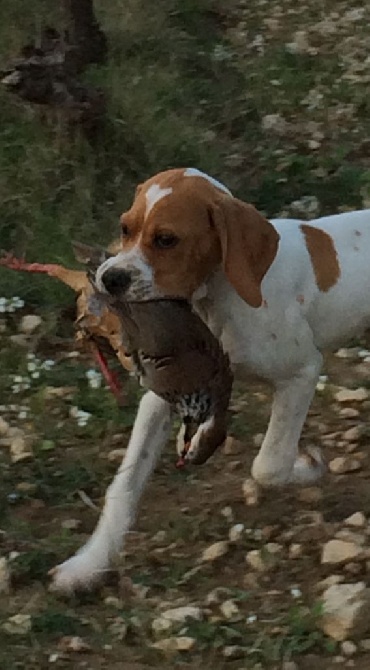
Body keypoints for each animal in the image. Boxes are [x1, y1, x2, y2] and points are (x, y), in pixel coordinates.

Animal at [50, 168, 370, 592]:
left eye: (166, 239)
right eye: (125, 228)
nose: (109, 277)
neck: (219, 297)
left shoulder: (301, 372)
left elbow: (269, 464)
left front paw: (307, 466)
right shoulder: (164, 394)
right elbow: (124, 484)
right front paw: (88, 563)